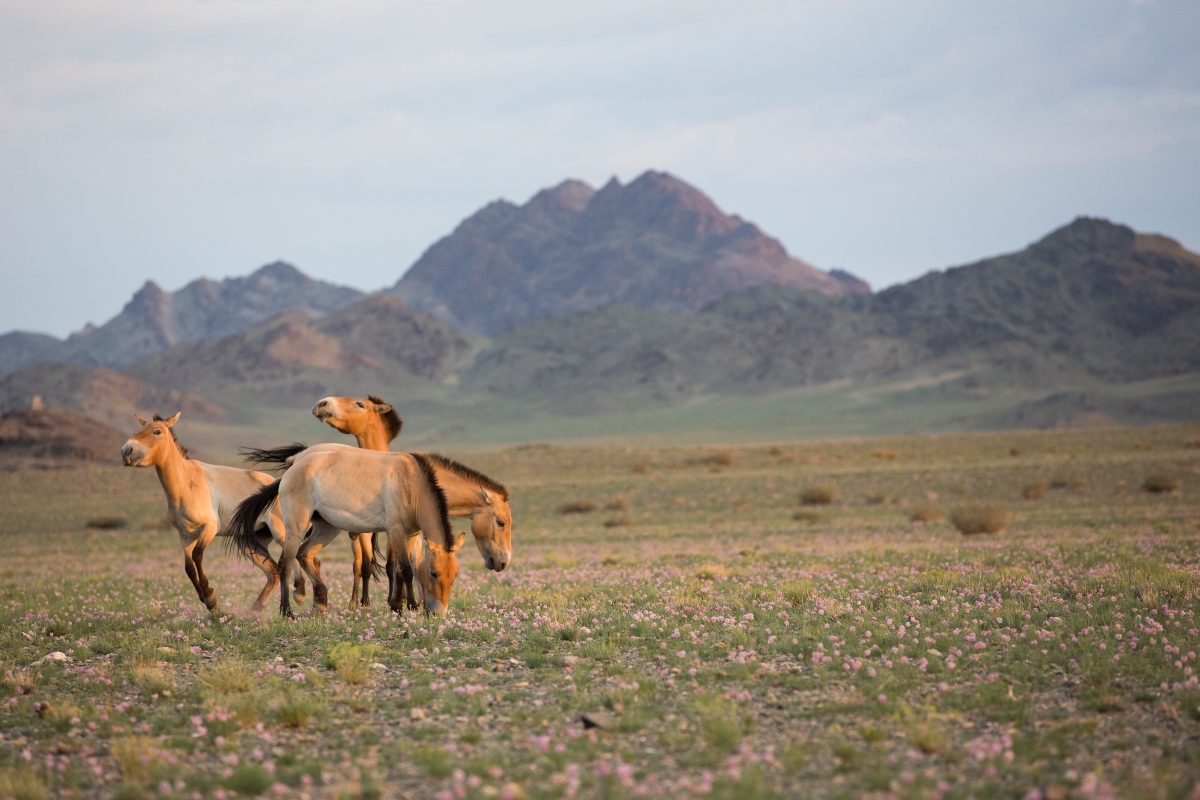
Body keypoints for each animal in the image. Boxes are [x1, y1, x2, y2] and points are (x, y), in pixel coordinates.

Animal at [121, 412, 285, 614]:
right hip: (248, 542)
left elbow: (197, 555)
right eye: (136, 431)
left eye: (157, 431)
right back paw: (254, 611)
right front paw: (207, 600)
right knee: (274, 572)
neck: (185, 483)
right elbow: (189, 566)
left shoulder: (209, 528)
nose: (126, 451)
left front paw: (210, 596)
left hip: (281, 535)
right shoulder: (185, 535)